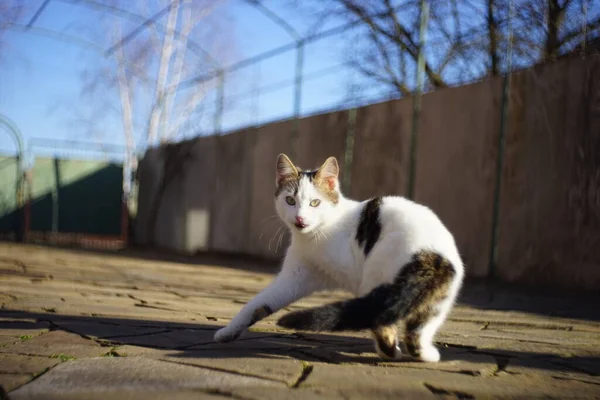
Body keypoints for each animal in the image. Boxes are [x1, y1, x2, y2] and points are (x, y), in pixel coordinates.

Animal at [213, 153, 466, 362]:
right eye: (290, 200)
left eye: (315, 203)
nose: (300, 219)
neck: (316, 234)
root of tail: (425, 252)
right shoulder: (296, 277)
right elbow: (259, 303)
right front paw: (229, 331)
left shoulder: (352, 269)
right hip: (440, 292)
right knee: (414, 325)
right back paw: (417, 353)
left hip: (380, 272)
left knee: (382, 318)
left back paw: (398, 352)